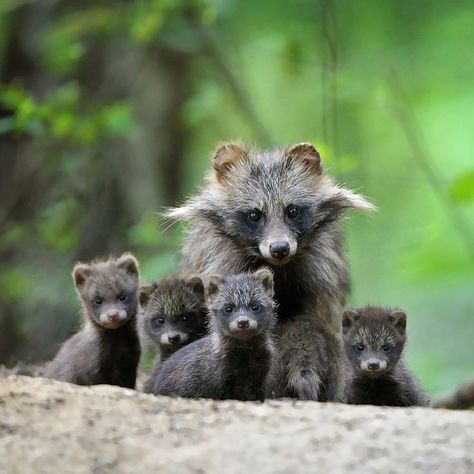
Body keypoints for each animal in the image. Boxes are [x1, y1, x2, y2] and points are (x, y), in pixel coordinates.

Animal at [46, 254, 141, 386]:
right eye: (97, 300)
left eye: (123, 297)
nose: (113, 315)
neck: (117, 351)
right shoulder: (92, 371)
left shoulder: (131, 365)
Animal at [167, 142, 374, 400]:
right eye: (254, 215)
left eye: (292, 211)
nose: (279, 248)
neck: (278, 268)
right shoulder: (216, 263)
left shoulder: (321, 277)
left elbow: (311, 325)